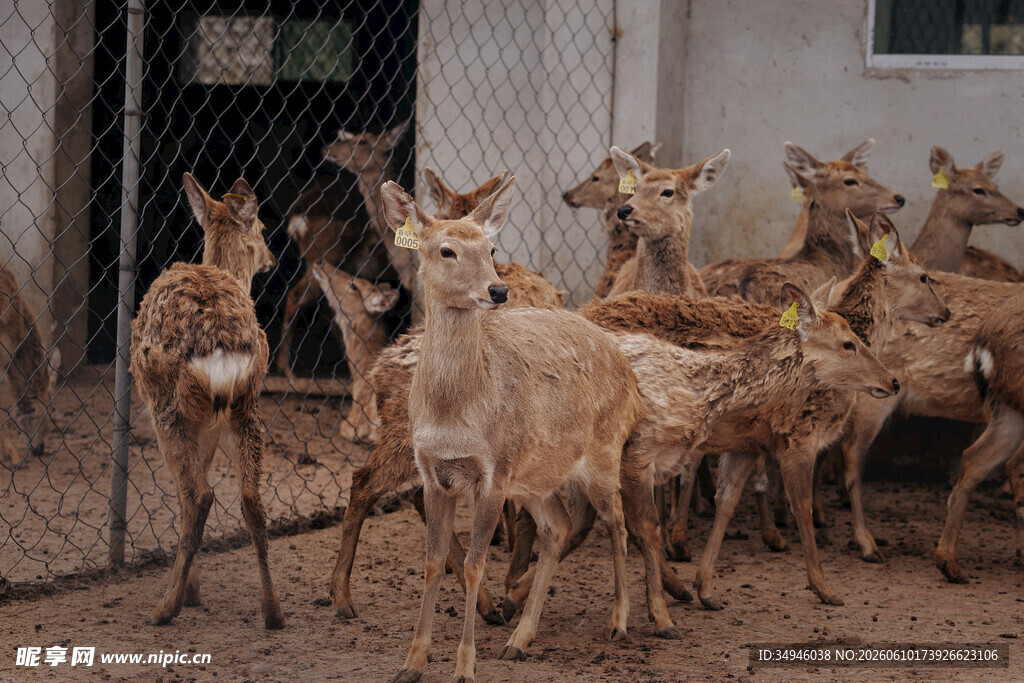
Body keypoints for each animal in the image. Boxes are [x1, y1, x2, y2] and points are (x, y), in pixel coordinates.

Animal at [129, 174, 283, 629]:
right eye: (263, 229)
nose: (272, 258)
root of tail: (219, 345)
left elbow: (191, 492)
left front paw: (190, 592)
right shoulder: (213, 425)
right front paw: (195, 588)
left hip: (167, 407)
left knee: (196, 497)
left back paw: (165, 608)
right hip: (245, 406)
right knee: (251, 499)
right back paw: (273, 613)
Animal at [277, 120, 410, 375]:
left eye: (362, 141)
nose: (327, 147)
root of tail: (298, 216)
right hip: (324, 254)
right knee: (298, 296)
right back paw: (286, 368)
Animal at [327, 172, 565, 625]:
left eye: (491, 248)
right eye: (447, 250)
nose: (497, 290)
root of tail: (379, 369)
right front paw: (514, 585)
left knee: (411, 495)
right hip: (402, 439)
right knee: (363, 481)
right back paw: (342, 597)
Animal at [378, 178, 642, 683]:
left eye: (492, 247)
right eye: (446, 250)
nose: (497, 290)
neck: (453, 414)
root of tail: (625, 367)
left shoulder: (493, 473)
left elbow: (474, 564)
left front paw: (464, 667)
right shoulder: (433, 473)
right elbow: (433, 563)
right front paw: (411, 663)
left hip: (604, 450)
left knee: (615, 521)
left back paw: (620, 623)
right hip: (535, 474)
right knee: (557, 528)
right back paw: (520, 639)